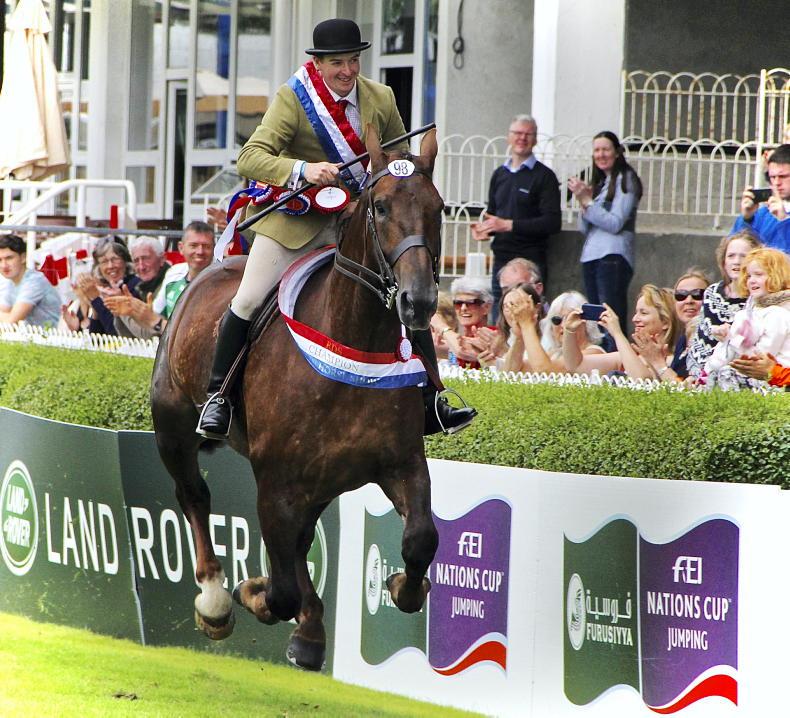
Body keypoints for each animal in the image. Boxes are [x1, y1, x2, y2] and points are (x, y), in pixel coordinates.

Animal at [150, 128, 443, 670]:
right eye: (381, 207)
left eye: (436, 207)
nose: (418, 302)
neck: (350, 343)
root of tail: (207, 268)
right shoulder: (275, 480)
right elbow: (281, 587)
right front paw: (254, 594)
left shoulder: (403, 463)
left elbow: (420, 540)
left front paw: (401, 586)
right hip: (173, 428)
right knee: (194, 495)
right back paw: (217, 601)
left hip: (321, 477)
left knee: (301, 539)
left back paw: (308, 632)